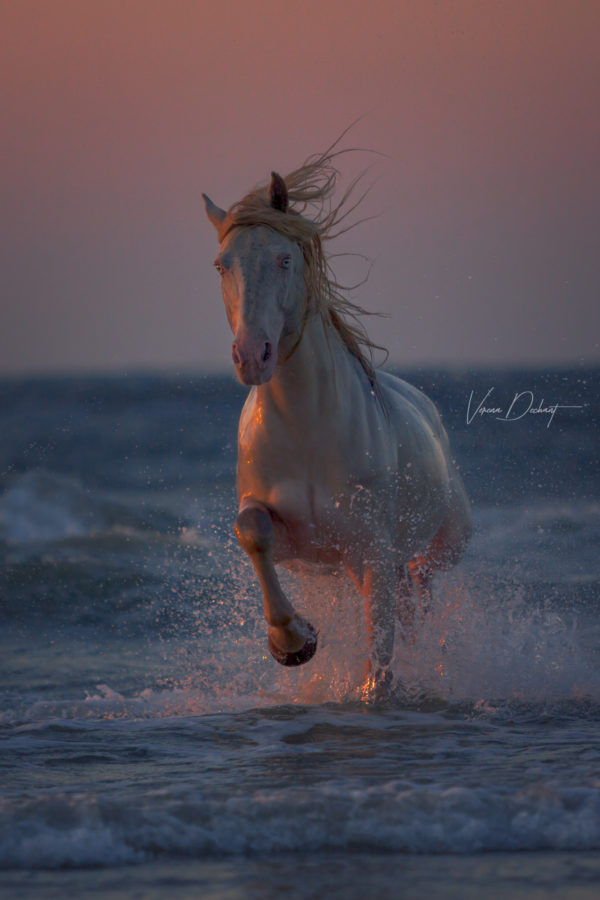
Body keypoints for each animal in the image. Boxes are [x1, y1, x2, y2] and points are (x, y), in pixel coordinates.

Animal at [202, 142, 472, 698]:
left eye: (284, 259)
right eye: (222, 265)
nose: (251, 356)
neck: (307, 429)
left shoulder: (370, 549)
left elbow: (381, 653)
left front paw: (371, 690)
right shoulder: (298, 544)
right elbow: (251, 531)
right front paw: (293, 642)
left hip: (431, 550)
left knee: (419, 590)